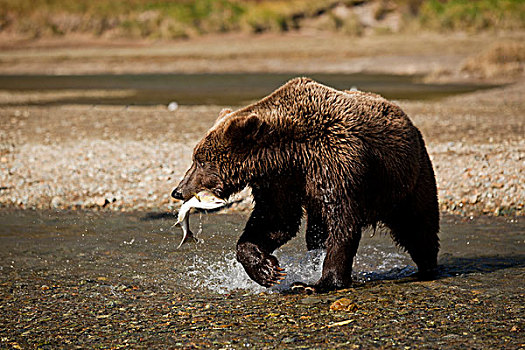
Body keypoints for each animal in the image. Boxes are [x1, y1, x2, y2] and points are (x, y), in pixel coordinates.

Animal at [172, 77, 438, 292]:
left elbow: (342, 222)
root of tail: (408, 119)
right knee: (315, 233)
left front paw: (319, 283)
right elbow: (276, 220)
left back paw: (426, 268)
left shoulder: (336, 161)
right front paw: (267, 270)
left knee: (417, 224)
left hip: (408, 176)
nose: (178, 190)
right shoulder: (279, 182)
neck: (288, 154)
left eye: (200, 161)